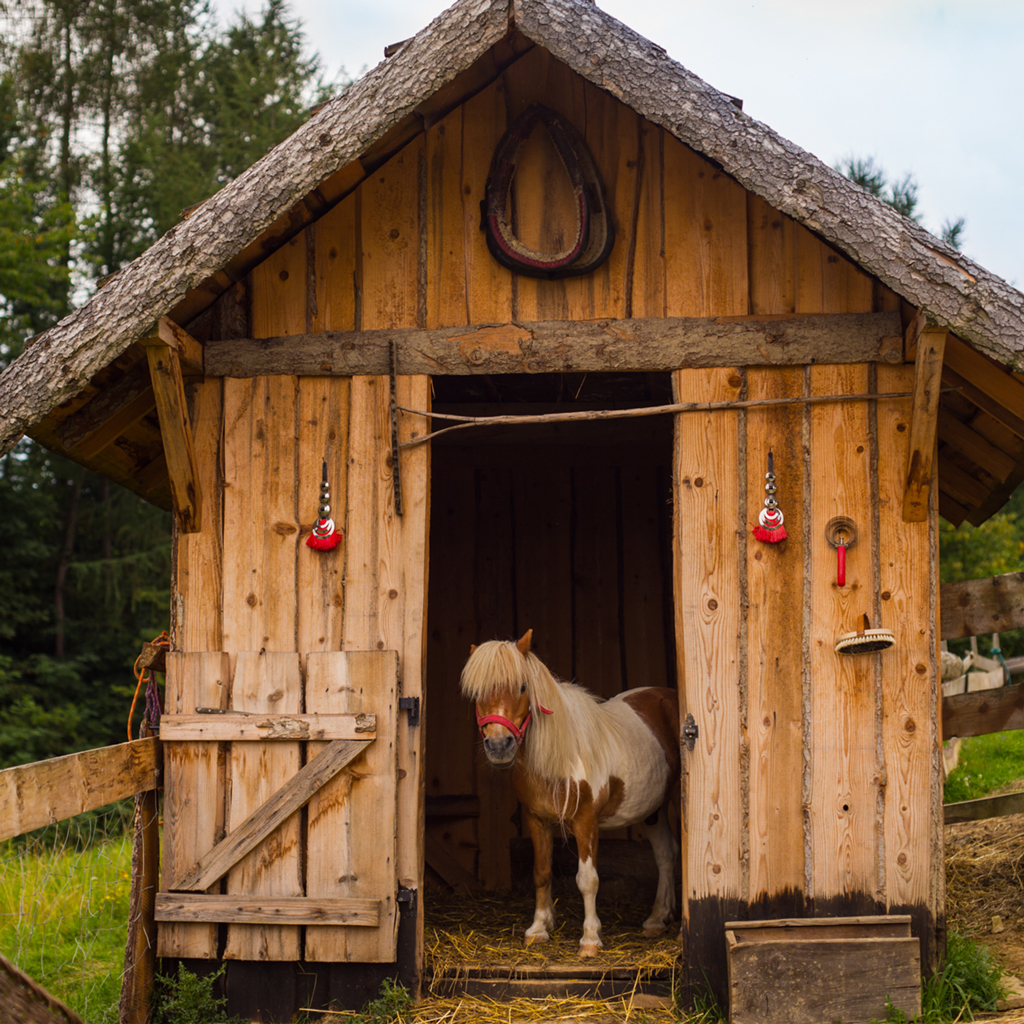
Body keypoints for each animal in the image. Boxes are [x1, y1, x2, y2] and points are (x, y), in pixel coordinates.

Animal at [464, 626, 679, 954]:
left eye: (523, 686)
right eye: (477, 693)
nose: (499, 746)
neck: (561, 757)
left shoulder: (586, 821)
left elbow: (587, 879)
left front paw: (590, 939)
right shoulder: (537, 820)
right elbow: (541, 873)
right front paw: (538, 929)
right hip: (652, 811)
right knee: (666, 855)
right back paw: (656, 920)